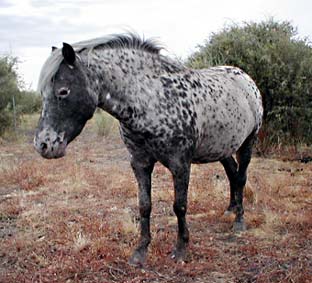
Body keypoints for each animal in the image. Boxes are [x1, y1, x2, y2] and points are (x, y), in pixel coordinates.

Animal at [34, 34, 264, 268]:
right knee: (232, 174)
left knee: (241, 177)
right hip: (222, 149)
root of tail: (246, 80)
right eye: (43, 93)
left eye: (63, 91)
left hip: (248, 143)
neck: (153, 98)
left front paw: (181, 249)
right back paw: (229, 210)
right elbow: (144, 205)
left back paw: (239, 221)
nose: (43, 144)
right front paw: (140, 251)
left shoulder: (180, 164)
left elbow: (179, 206)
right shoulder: (140, 163)